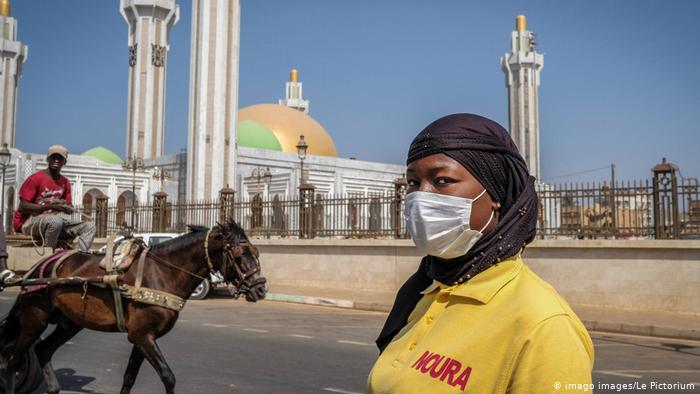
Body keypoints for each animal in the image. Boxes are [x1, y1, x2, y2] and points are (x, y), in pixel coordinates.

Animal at [0, 220, 266, 392]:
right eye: (240, 254)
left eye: (255, 251)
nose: (260, 289)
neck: (162, 273)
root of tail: (37, 268)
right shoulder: (142, 335)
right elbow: (168, 377)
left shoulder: (142, 337)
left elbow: (129, 377)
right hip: (35, 318)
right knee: (13, 360)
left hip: (70, 323)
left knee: (43, 349)